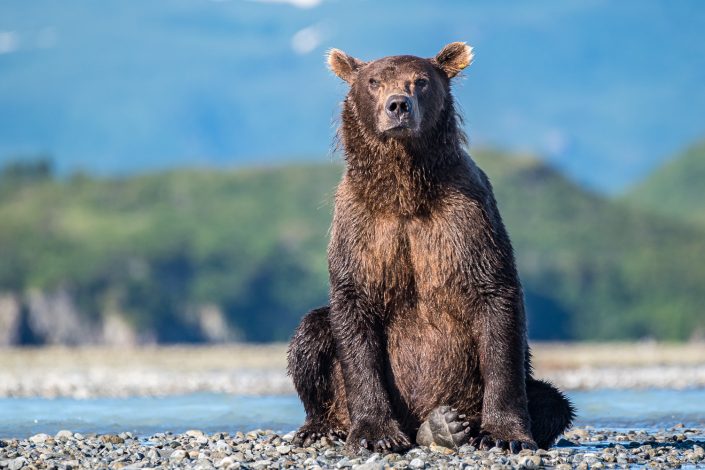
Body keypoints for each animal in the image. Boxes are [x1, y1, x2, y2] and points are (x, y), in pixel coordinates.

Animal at [286, 42, 572, 454]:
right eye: (373, 81)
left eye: (420, 81)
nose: (398, 105)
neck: (405, 191)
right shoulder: (361, 226)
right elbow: (353, 308)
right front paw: (375, 433)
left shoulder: (465, 218)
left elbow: (496, 300)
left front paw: (505, 435)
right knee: (311, 335)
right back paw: (323, 427)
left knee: (553, 401)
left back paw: (445, 426)